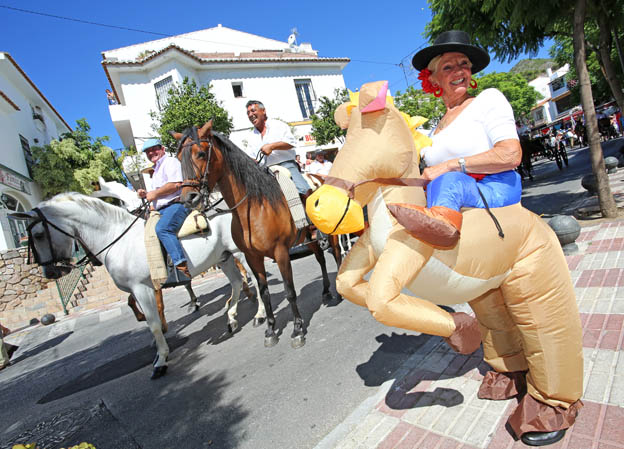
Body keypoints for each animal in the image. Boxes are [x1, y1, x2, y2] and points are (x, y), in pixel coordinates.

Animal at [11, 192, 266, 378]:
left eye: (37, 234)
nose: (50, 272)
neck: (118, 240)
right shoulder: (141, 290)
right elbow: (147, 318)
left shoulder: (142, 288)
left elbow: (153, 323)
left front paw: (161, 359)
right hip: (223, 258)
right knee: (236, 282)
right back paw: (231, 317)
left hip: (240, 253)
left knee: (255, 278)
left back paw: (260, 315)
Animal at [173, 121, 342, 346]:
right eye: (178, 158)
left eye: (200, 153)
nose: (188, 198)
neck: (254, 207)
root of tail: (320, 178)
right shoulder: (253, 257)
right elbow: (265, 293)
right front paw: (270, 330)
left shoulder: (280, 252)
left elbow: (289, 291)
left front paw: (297, 330)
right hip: (310, 238)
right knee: (321, 259)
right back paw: (325, 291)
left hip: (332, 234)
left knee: (337, 254)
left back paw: (339, 289)